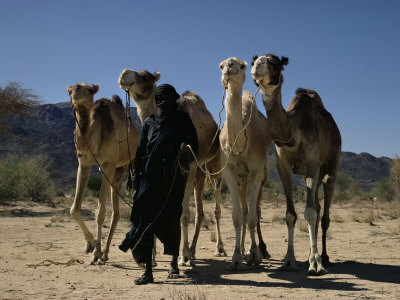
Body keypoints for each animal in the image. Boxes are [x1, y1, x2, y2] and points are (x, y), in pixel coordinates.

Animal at [67, 83, 139, 264]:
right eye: (70, 90)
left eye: (89, 90)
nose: (76, 90)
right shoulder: (84, 164)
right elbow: (74, 209)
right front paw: (91, 245)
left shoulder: (107, 164)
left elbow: (99, 212)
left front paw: (95, 253)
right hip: (118, 172)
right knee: (116, 212)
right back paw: (106, 253)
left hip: (132, 163)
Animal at [117, 69, 227, 264]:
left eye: (146, 76)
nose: (124, 73)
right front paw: (152, 257)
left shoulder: (188, 166)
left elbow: (183, 214)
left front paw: (182, 257)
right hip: (199, 173)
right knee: (200, 212)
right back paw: (193, 250)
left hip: (213, 165)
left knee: (215, 208)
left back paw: (218, 249)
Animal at [250, 53, 340, 274]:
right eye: (253, 60)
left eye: (275, 63)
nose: (257, 66)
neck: (293, 130)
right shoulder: (283, 166)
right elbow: (291, 214)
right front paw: (289, 259)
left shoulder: (312, 164)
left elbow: (310, 212)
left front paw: (316, 262)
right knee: (317, 205)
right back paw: (309, 254)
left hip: (332, 162)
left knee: (324, 213)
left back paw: (324, 256)